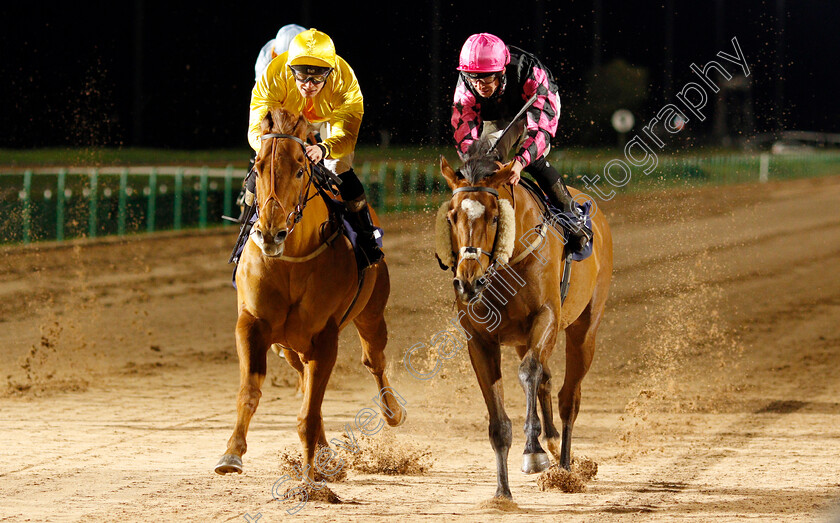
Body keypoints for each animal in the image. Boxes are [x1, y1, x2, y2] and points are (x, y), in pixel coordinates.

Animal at [215, 108, 402, 482]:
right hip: (287, 346)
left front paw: (309, 475)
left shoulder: (324, 336)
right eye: (258, 168)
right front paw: (232, 453)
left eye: (301, 169)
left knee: (374, 360)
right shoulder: (252, 324)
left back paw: (392, 412)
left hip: (371, 314)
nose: (270, 233)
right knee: (304, 377)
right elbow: (251, 391)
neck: (291, 258)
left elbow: (310, 413)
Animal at [436, 151, 612, 500]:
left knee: (569, 396)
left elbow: (530, 372)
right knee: (547, 379)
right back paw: (553, 443)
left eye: (494, 217)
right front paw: (502, 492)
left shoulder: (546, 318)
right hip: (520, 339)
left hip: (584, 331)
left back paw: (565, 466)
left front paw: (533, 452)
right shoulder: (479, 340)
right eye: (451, 217)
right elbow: (499, 422)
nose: (468, 282)